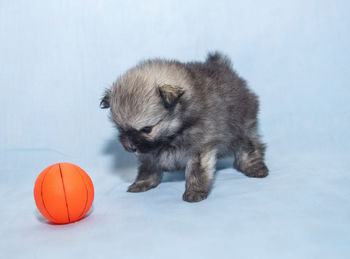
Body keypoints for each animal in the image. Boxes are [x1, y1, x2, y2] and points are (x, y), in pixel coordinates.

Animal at [101, 52, 268, 203]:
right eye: (120, 129)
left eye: (147, 129)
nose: (130, 147)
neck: (174, 134)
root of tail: (224, 67)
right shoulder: (149, 154)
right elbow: (148, 169)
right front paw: (143, 183)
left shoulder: (199, 148)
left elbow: (196, 172)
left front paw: (195, 191)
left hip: (242, 127)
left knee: (250, 148)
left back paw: (254, 167)